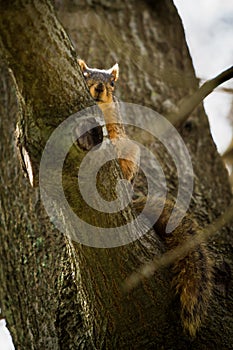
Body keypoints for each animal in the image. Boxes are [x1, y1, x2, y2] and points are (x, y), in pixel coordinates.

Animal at [78, 58, 213, 338]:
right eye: (85, 75)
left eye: (112, 83)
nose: (99, 88)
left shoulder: (117, 124)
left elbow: (116, 134)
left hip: (133, 153)